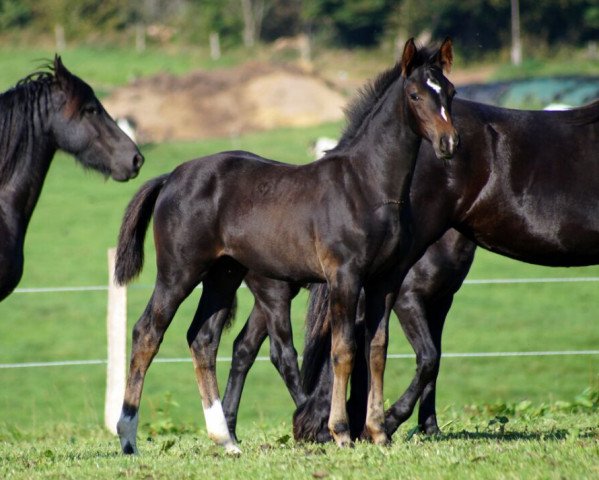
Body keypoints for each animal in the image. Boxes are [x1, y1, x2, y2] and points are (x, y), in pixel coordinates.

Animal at [113, 39, 460, 456]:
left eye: (451, 92)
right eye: (415, 95)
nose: (448, 143)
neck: (366, 186)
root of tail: (171, 178)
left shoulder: (385, 281)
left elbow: (377, 349)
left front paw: (378, 431)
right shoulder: (344, 276)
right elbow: (344, 350)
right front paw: (340, 431)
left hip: (223, 275)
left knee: (203, 339)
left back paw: (226, 439)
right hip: (180, 272)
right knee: (147, 333)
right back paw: (128, 437)